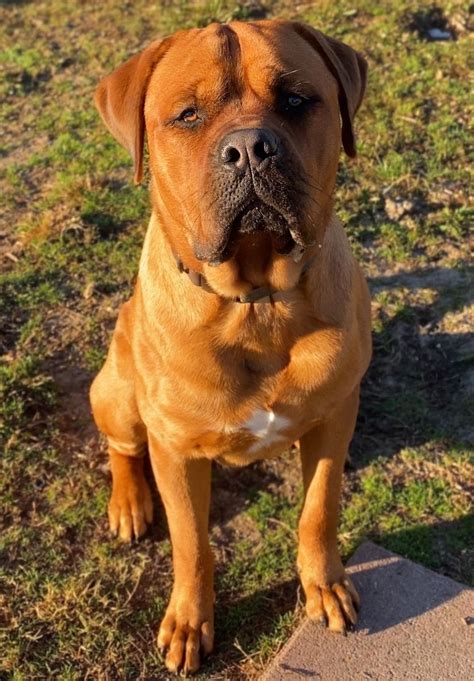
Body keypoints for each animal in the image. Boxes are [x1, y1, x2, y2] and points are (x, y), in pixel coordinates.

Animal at [89, 19, 370, 676]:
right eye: (187, 115)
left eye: (295, 99)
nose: (249, 148)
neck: (256, 302)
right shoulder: (174, 450)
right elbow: (193, 544)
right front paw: (190, 623)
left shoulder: (334, 415)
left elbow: (319, 509)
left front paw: (325, 585)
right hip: (117, 392)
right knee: (121, 448)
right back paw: (129, 504)